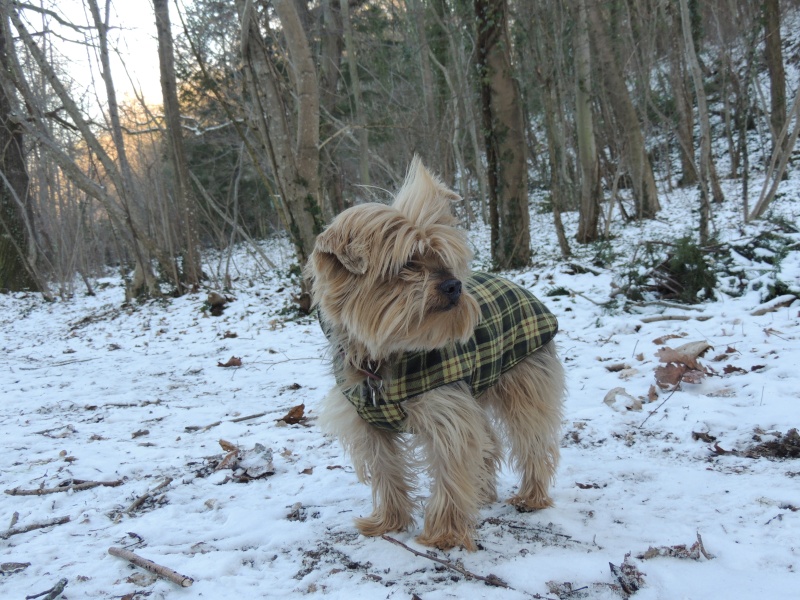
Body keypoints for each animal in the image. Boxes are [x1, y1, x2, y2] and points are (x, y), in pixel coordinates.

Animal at [306, 157, 564, 552]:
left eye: (443, 259)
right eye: (407, 265)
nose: (454, 285)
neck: (385, 357)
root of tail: (520, 287)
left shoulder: (448, 415)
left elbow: (450, 471)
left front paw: (444, 534)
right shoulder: (369, 426)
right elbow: (387, 472)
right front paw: (388, 522)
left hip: (524, 380)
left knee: (531, 438)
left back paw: (531, 496)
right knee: (490, 442)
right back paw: (484, 493)